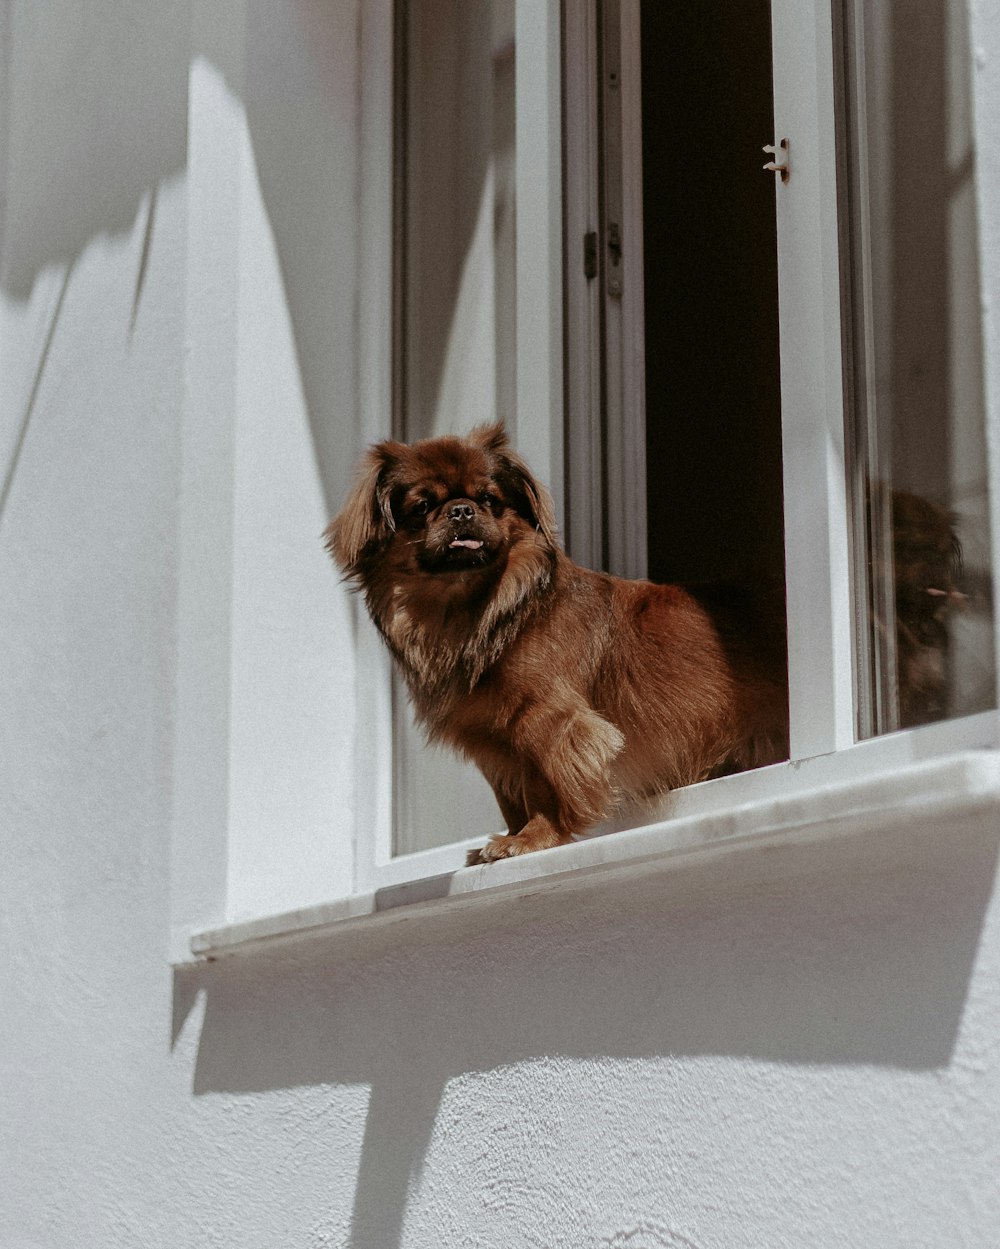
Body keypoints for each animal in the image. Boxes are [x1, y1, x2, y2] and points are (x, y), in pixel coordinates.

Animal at [327, 424, 789, 864]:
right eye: (422, 507)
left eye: (489, 499)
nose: (461, 509)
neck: (474, 610)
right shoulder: (493, 741)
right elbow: (513, 798)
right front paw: (511, 838)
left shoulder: (548, 721)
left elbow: (546, 786)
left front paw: (532, 839)